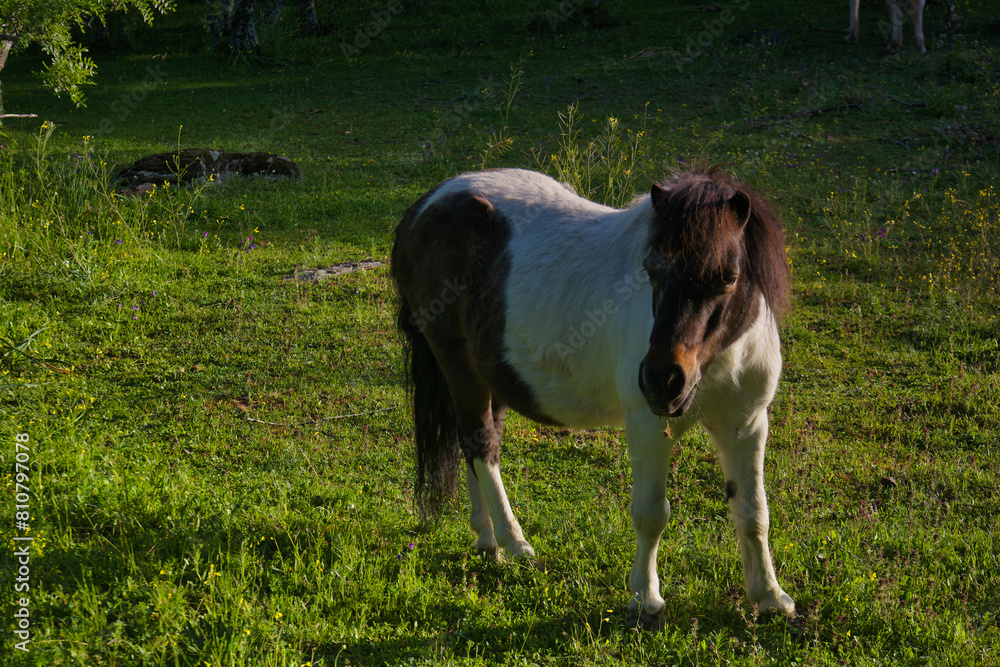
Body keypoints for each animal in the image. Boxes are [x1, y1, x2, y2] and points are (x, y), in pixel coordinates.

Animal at [390, 166, 795, 628]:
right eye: (651, 268)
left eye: (728, 277)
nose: (661, 380)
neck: (723, 355)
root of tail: (426, 205)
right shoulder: (649, 426)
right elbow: (652, 514)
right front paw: (645, 600)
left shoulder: (746, 424)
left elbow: (753, 512)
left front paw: (769, 596)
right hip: (458, 367)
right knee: (481, 445)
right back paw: (514, 543)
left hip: (489, 376)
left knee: (472, 441)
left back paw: (487, 537)